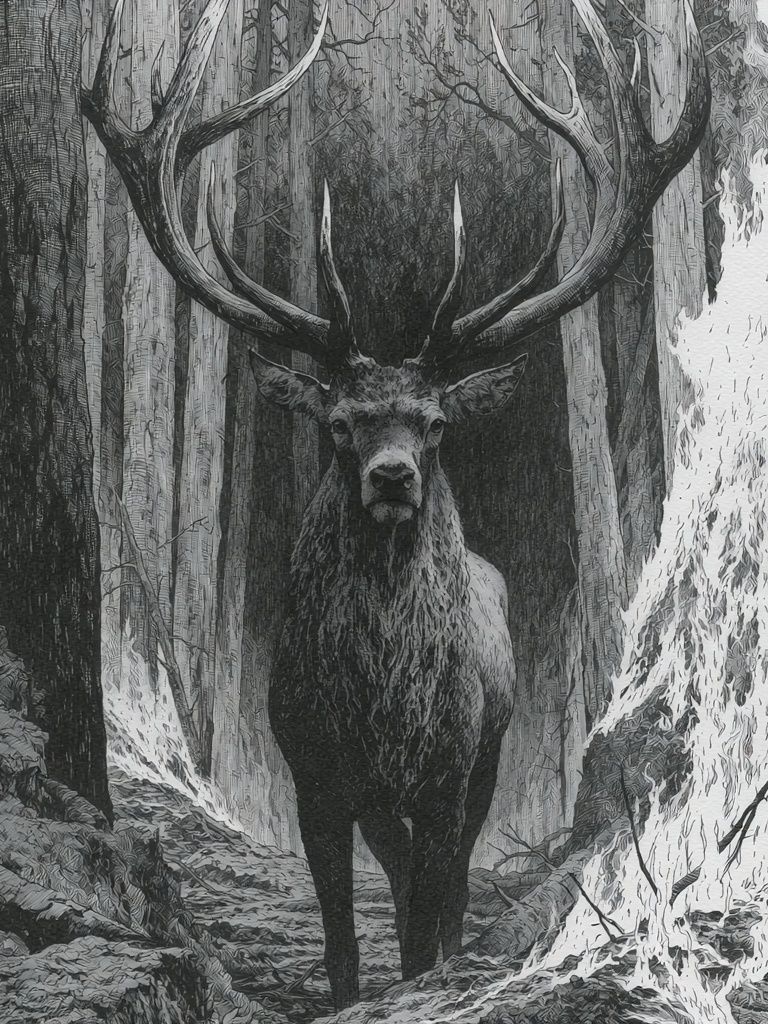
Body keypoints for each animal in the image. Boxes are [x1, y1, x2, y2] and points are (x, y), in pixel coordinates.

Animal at [84, 0, 709, 1009]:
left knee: (440, 875)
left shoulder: (451, 766)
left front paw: (429, 969)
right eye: (340, 423)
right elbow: (345, 924)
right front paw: (354, 986)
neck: (380, 708)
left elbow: (430, 896)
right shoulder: (313, 771)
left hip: (491, 747)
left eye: (436, 422)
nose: (391, 476)